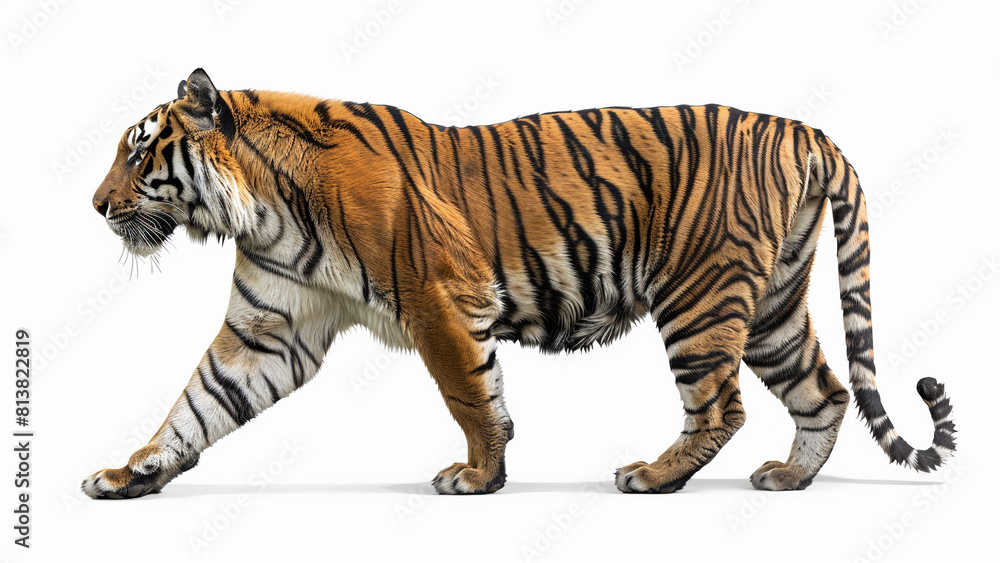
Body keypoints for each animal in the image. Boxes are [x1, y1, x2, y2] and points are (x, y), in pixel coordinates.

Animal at [82, 68, 956, 499]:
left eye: (139, 151)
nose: (95, 205)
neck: (264, 209)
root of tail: (801, 127)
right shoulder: (271, 328)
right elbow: (198, 403)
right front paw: (132, 473)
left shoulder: (438, 299)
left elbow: (471, 395)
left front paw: (477, 475)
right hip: (772, 302)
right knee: (824, 390)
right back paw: (789, 477)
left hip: (700, 296)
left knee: (722, 406)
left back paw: (653, 476)